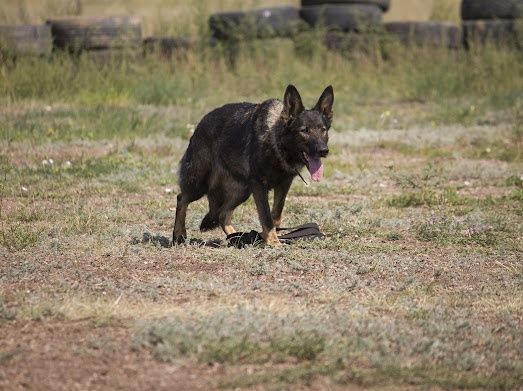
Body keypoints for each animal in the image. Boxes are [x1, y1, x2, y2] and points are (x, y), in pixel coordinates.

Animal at [174, 84, 334, 247]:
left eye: (323, 130)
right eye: (304, 130)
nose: (323, 151)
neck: (275, 142)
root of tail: (200, 124)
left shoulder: (283, 185)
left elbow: (276, 215)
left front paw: (269, 236)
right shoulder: (259, 185)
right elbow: (266, 216)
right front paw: (273, 242)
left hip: (242, 191)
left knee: (222, 215)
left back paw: (237, 238)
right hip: (199, 183)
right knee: (182, 199)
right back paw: (179, 235)